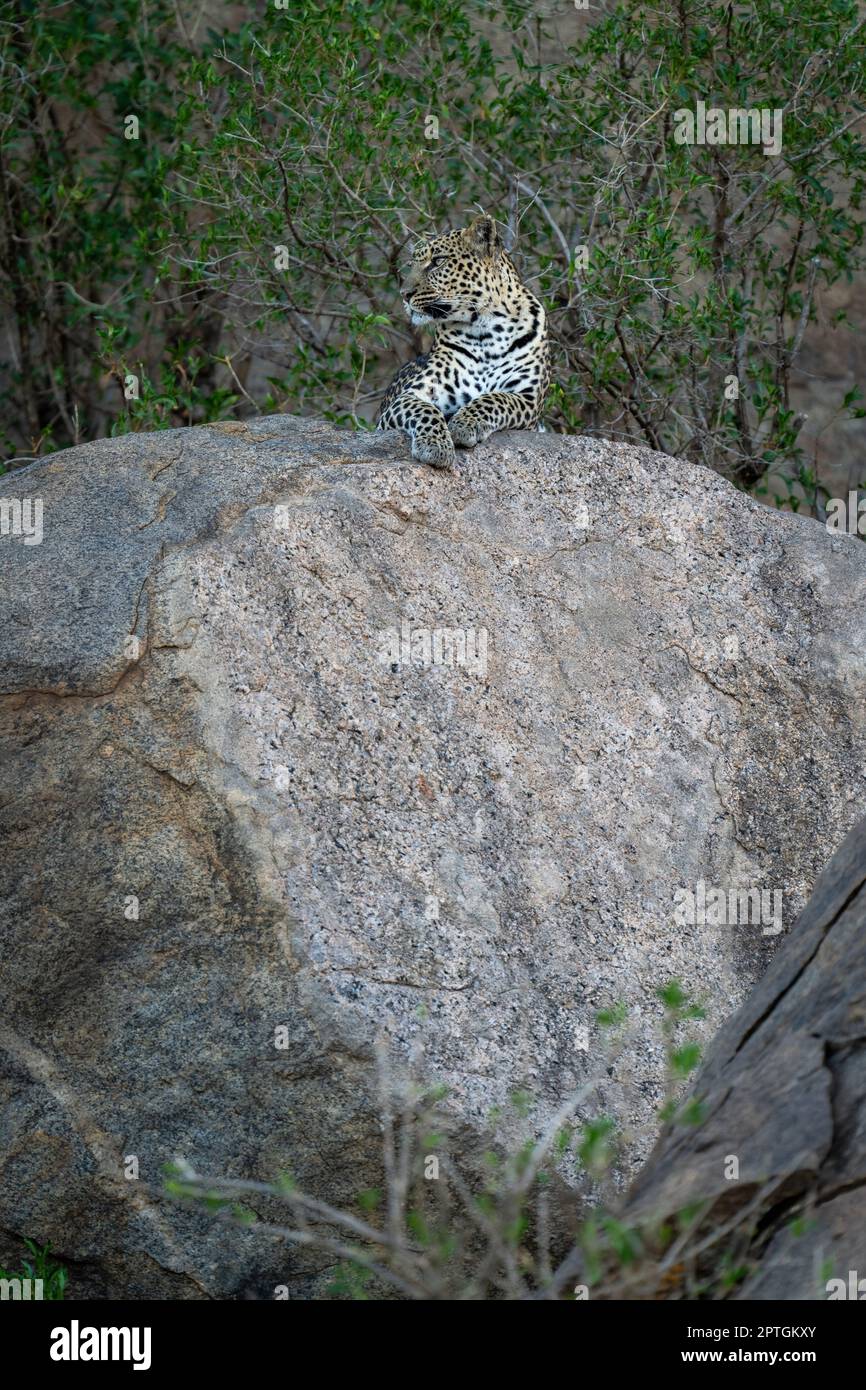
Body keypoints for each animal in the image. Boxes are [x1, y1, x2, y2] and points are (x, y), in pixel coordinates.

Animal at [375, 214, 553, 469]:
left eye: (438, 261)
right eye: (412, 265)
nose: (404, 294)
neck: (487, 329)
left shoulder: (528, 399)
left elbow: (495, 398)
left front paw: (463, 425)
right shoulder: (407, 397)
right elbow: (424, 410)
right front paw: (435, 446)